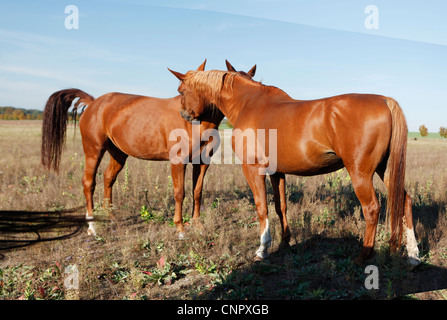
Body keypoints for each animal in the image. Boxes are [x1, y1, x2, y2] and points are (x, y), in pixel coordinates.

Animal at [43, 60, 260, 238]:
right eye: (180, 90)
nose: (185, 115)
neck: (199, 124)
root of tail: (94, 103)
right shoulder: (177, 161)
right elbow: (179, 192)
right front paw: (180, 229)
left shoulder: (202, 162)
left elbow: (197, 191)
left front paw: (197, 225)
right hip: (93, 150)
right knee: (88, 183)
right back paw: (92, 226)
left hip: (118, 153)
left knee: (108, 178)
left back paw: (111, 218)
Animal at [169, 69, 424, 266]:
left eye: (181, 91)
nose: (183, 114)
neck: (249, 104)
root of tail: (384, 100)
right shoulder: (277, 172)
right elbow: (280, 206)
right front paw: (285, 241)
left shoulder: (252, 169)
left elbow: (262, 207)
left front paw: (262, 250)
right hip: (386, 170)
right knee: (404, 201)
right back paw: (411, 255)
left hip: (360, 173)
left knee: (371, 208)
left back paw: (363, 256)